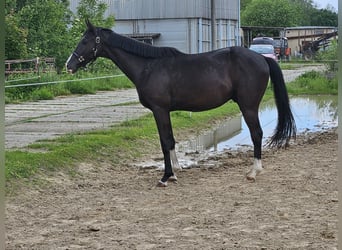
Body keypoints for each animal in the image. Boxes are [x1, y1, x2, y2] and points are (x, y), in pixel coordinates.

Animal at [67, 20, 296, 187]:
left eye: (85, 41)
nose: (69, 65)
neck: (149, 66)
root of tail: (262, 58)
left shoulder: (159, 110)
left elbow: (164, 141)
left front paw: (165, 177)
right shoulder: (165, 111)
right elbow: (171, 140)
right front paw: (176, 171)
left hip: (248, 107)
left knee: (257, 134)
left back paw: (253, 172)